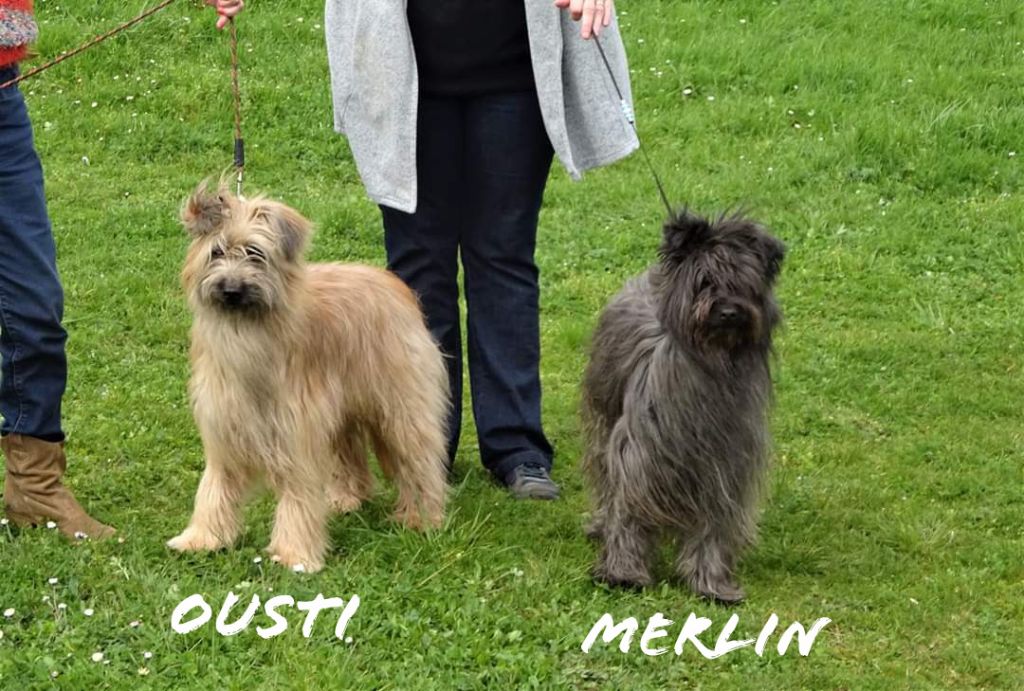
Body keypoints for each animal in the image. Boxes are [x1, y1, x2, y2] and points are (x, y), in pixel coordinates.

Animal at [167, 184, 448, 573]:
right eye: (217, 252)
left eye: (255, 254)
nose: (231, 290)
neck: (246, 337)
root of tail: (393, 285)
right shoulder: (224, 425)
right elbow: (215, 486)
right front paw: (203, 537)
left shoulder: (294, 431)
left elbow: (298, 494)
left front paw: (294, 554)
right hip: (343, 410)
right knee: (349, 453)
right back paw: (347, 498)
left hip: (400, 406)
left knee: (419, 458)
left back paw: (422, 516)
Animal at [585, 210, 782, 606]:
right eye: (704, 282)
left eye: (745, 283)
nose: (729, 312)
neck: (711, 367)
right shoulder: (638, 455)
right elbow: (627, 507)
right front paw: (623, 572)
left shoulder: (723, 469)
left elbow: (714, 527)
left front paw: (710, 582)